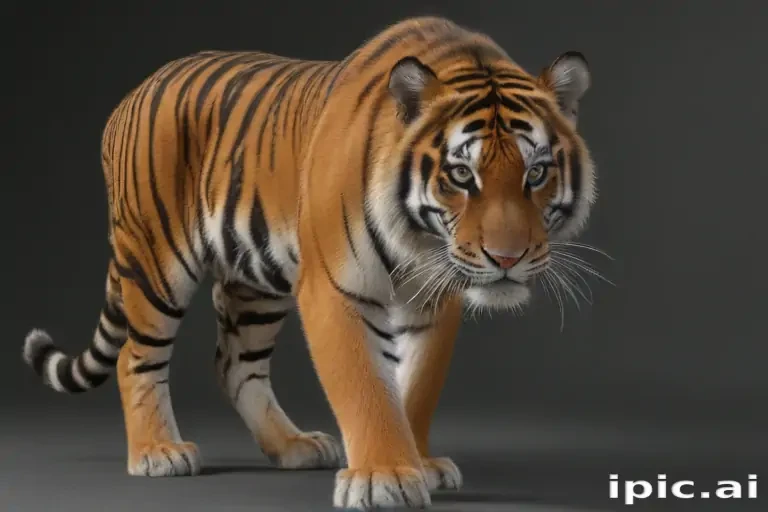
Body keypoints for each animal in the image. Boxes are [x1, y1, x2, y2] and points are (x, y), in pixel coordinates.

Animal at [21, 15, 596, 510]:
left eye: (536, 173)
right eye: (461, 175)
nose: (507, 257)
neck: (420, 240)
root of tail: (133, 94)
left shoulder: (433, 300)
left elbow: (416, 385)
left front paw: (420, 461)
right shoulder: (336, 289)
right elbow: (366, 387)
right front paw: (383, 476)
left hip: (255, 280)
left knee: (235, 364)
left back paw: (293, 446)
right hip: (155, 261)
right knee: (134, 357)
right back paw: (158, 452)